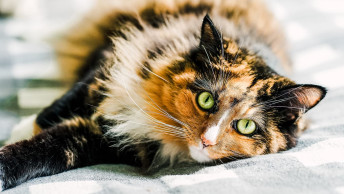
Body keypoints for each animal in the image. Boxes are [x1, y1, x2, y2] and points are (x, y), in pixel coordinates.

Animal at [0, 0, 326, 191]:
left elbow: (47, 150)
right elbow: (60, 106)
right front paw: (23, 128)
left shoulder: (105, 142)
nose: (206, 141)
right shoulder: (114, 57)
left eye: (246, 126)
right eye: (206, 99)